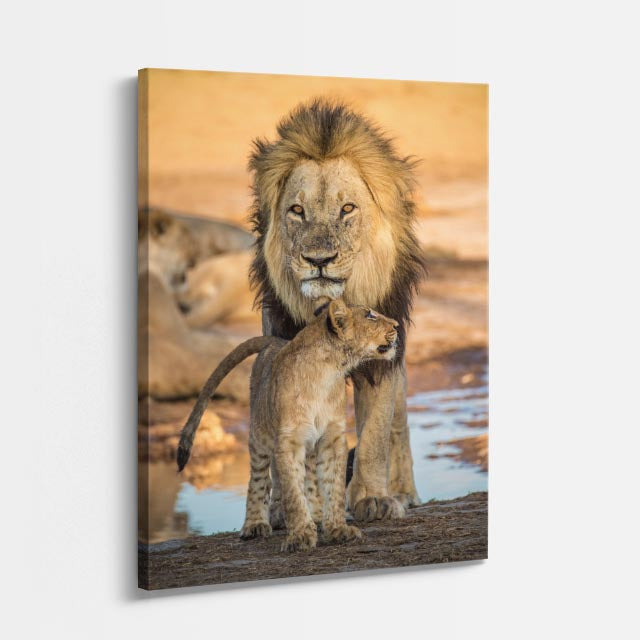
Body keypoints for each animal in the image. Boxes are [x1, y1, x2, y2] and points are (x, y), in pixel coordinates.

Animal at [177, 299, 400, 551]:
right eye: (370, 316)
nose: (397, 325)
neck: (328, 372)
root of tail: (275, 341)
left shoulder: (332, 438)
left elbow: (333, 486)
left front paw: (336, 529)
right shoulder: (288, 441)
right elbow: (293, 492)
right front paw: (300, 535)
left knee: (310, 479)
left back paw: (316, 515)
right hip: (260, 435)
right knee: (260, 479)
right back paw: (255, 524)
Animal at [249, 99, 427, 522]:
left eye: (347, 208)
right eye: (297, 210)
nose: (319, 260)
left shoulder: (382, 358)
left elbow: (376, 433)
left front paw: (372, 499)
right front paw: (287, 507)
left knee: (399, 424)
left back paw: (403, 491)